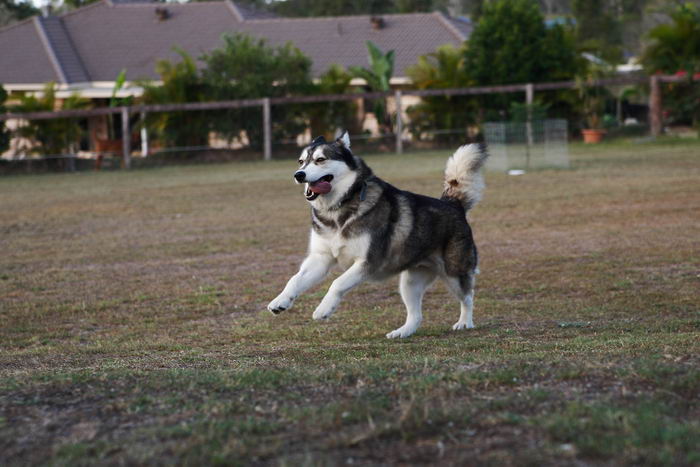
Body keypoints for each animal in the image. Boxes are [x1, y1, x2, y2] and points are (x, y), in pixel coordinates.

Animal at [268, 133, 486, 340]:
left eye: (320, 159)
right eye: (301, 161)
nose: (298, 175)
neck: (338, 210)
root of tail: (453, 204)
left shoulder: (368, 262)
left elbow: (337, 283)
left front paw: (323, 309)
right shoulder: (320, 259)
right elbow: (294, 280)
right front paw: (280, 301)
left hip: (454, 273)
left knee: (468, 296)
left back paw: (465, 322)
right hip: (410, 283)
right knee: (416, 315)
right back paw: (402, 332)